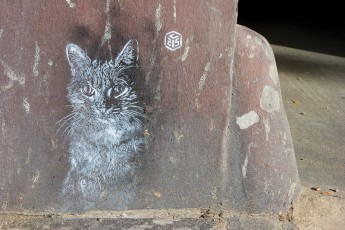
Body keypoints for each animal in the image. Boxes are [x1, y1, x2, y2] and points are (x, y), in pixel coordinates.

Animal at [59, 40, 143, 212]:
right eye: (88, 90)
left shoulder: (128, 171)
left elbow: (121, 196)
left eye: (118, 89)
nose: (102, 107)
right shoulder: (84, 174)